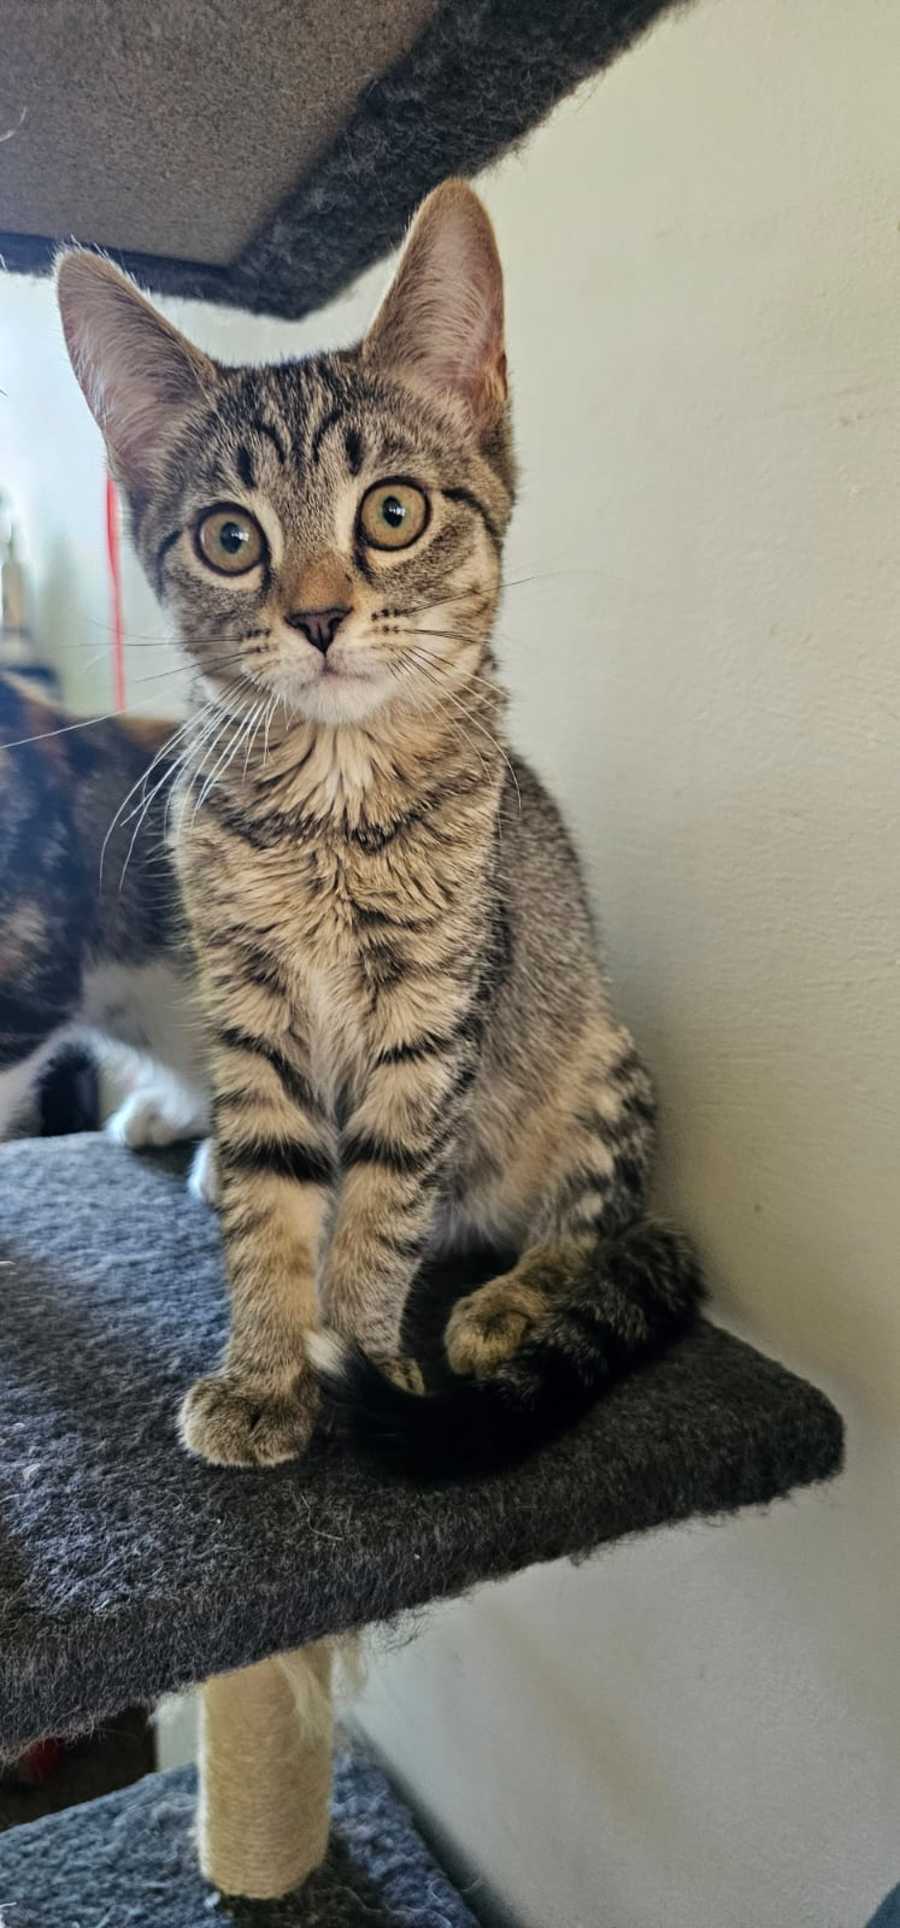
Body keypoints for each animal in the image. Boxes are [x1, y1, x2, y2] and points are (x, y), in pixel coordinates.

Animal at [55, 178, 703, 1478]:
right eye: (231, 536)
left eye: (392, 512)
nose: (316, 616)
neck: (331, 810)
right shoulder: (251, 1013)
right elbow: (271, 1198)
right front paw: (265, 1369)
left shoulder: (437, 1012)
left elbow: (382, 1205)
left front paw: (358, 1355)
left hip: (595, 1056)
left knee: (598, 1220)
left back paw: (514, 1301)